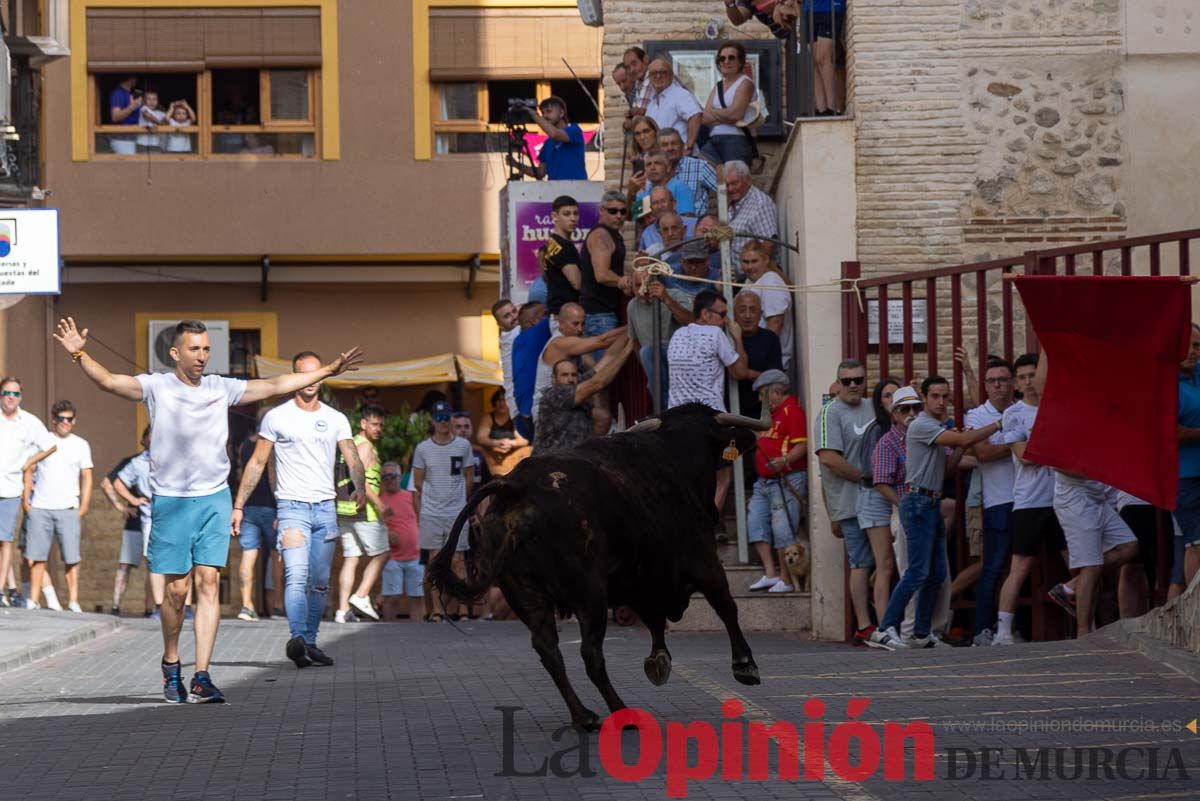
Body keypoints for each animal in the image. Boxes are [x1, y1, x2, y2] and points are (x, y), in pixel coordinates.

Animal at [429, 402, 768, 729]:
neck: (677, 451)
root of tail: (514, 488)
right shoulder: (703, 561)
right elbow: (726, 606)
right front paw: (745, 665)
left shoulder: (642, 579)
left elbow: (655, 620)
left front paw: (659, 661)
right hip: (589, 592)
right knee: (590, 653)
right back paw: (622, 712)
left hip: (527, 596)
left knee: (549, 651)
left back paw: (584, 716)